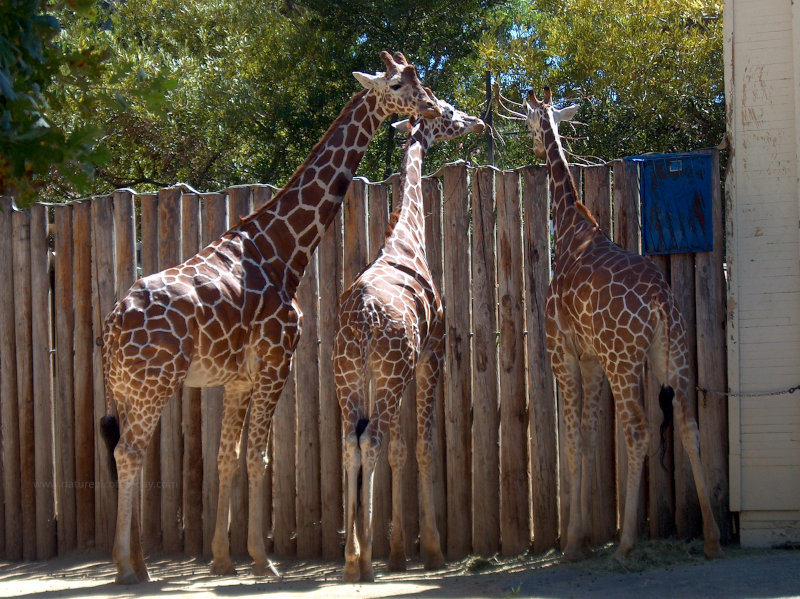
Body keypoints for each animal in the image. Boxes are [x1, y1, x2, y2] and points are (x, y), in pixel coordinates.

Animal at [99, 51, 442, 585]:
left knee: (128, 452)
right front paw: (263, 560)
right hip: (154, 382)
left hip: (126, 387)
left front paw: (222, 558)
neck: (283, 250)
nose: (433, 106)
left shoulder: (238, 377)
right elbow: (260, 458)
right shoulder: (276, 361)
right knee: (129, 452)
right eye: (399, 84)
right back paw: (126, 569)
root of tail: (113, 326)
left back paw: (138, 561)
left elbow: (228, 457)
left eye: (418, 80)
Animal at [333, 98, 484, 582]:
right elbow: (421, 446)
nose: (476, 121)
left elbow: (400, 450)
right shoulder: (430, 353)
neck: (406, 237)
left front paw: (398, 553)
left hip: (350, 374)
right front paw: (432, 550)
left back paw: (353, 559)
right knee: (371, 440)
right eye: (449, 112)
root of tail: (363, 316)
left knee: (352, 442)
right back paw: (362, 561)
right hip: (391, 371)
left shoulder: (401, 368)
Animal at [522, 88, 723, 561]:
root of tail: (660, 302)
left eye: (528, 121)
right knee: (689, 425)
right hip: (673, 353)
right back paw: (711, 537)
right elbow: (588, 434)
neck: (571, 226)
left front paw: (573, 542)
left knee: (638, 431)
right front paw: (581, 536)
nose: (534, 149)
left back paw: (627, 543)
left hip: (624, 359)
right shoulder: (591, 358)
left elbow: (572, 436)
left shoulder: (563, 351)